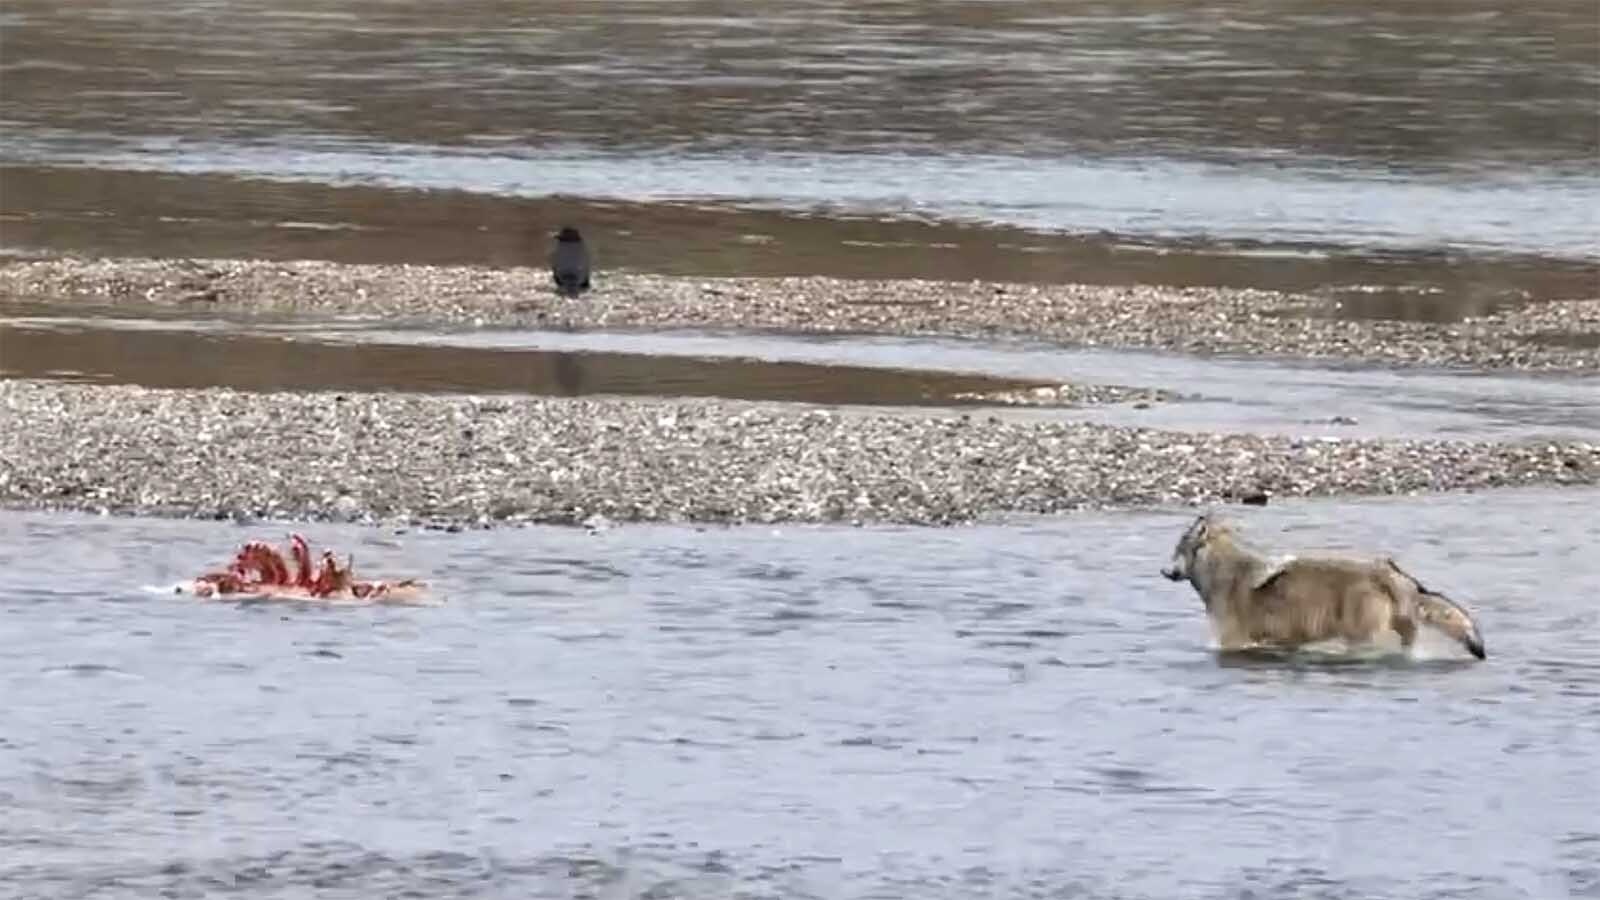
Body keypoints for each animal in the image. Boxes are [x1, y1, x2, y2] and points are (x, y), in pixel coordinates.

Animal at [1160, 512, 1486, 660]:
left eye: (1176, 548)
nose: (1162, 570)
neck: (1221, 570)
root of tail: (1392, 572)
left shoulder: (1232, 642)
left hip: (1361, 636)